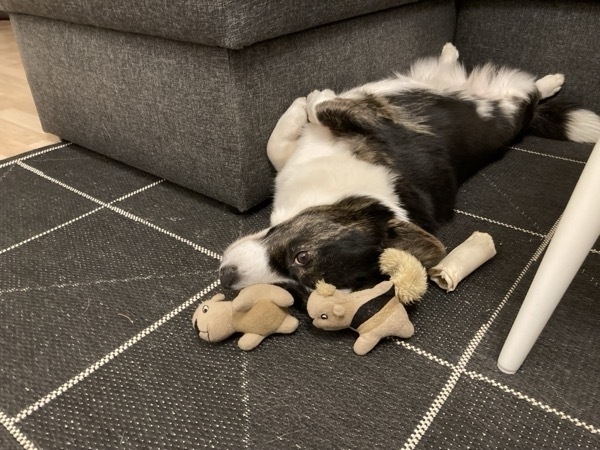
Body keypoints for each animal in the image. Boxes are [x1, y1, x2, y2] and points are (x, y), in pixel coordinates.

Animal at [218, 44, 600, 300]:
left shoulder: (369, 120)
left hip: (511, 106)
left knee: (529, 94)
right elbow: (278, 145)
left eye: (301, 260)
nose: (225, 278)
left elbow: (324, 106)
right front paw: (303, 107)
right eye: (295, 291)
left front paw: (312, 99)